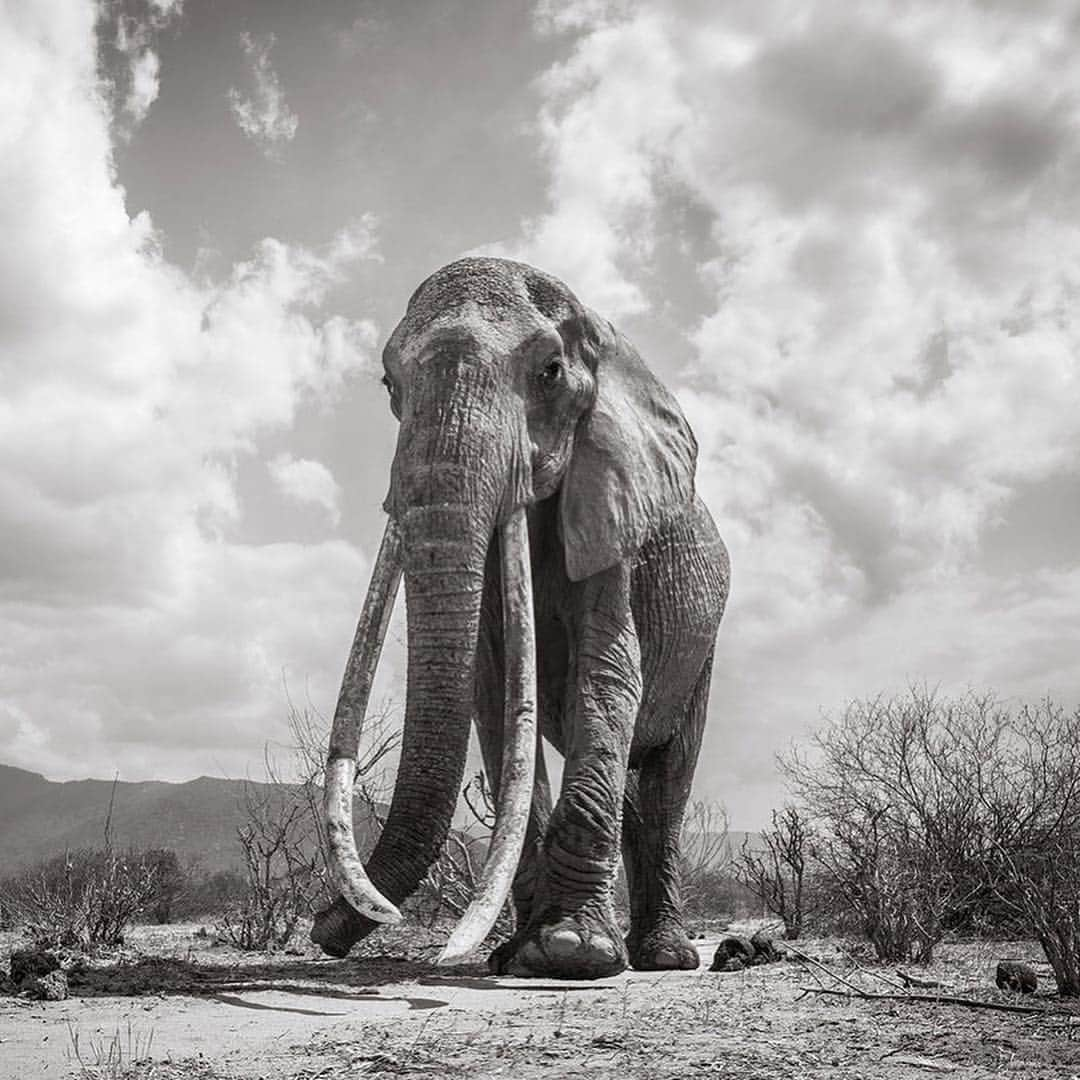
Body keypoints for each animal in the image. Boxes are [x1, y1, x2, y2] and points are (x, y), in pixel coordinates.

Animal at [313, 254, 734, 980]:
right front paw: (520, 956)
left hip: (704, 643)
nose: (321, 931)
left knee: (667, 780)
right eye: (389, 382)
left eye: (550, 372)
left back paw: (664, 957)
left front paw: (571, 953)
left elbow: (608, 673)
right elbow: (497, 690)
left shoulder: (613, 508)